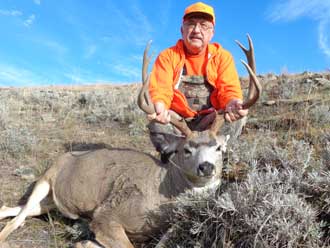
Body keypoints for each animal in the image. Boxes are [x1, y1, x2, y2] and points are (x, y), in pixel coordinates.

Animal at [0, 35, 260, 248]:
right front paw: (84, 242)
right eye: (186, 150)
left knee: (9, 209)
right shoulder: (107, 215)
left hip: (49, 203)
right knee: (15, 220)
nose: (206, 167)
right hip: (45, 180)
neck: (162, 192)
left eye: (219, 148)